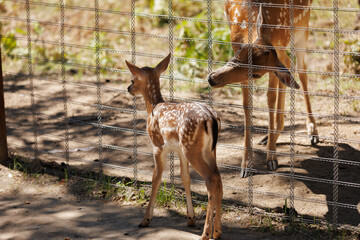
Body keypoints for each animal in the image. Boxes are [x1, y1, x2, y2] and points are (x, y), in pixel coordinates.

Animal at [126, 54, 222, 240]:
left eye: (133, 79)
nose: (128, 88)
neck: (153, 107)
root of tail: (210, 119)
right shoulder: (179, 151)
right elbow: (185, 178)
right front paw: (190, 218)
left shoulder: (157, 145)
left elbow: (156, 178)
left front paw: (145, 219)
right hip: (207, 150)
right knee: (219, 179)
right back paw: (217, 232)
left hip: (192, 148)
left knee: (211, 179)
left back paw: (206, 233)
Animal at [208, 0, 318, 176]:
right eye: (240, 51)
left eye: (257, 74)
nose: (213, 78)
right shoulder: (236, 43)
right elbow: (247, 104)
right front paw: (246, 164)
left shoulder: (277, 53)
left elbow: (270, 99)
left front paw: (271, 158)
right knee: (289, 67)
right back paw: (269, 136)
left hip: (303, 27)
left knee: (301, 71)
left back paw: (312, 131)